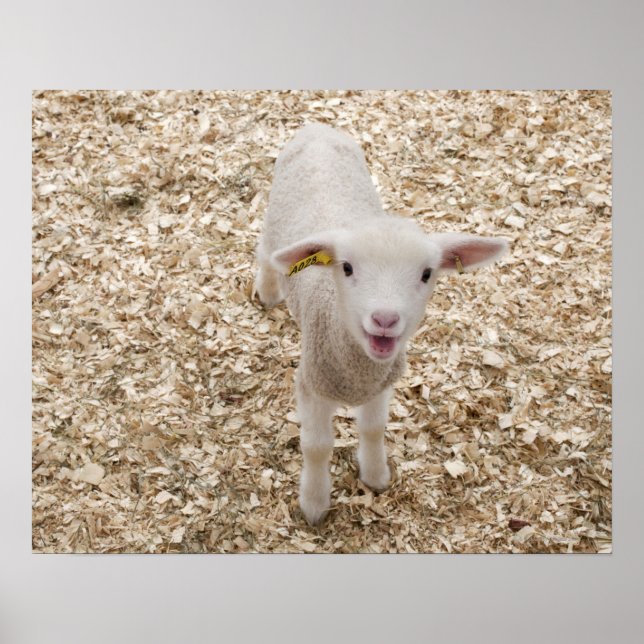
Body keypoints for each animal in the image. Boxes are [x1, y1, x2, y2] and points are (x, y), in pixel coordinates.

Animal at [255, 123, 509, 525]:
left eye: (426, 274)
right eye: (346, 267)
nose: (385, 319)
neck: (357, 370)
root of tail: (317, 128)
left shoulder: (381, 385)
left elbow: (373, 428)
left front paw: (376, 476)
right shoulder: (311, 385)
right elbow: (316, 447)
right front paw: (314, 504)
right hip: (274, 219)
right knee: (265, 252)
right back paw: (267, 290)